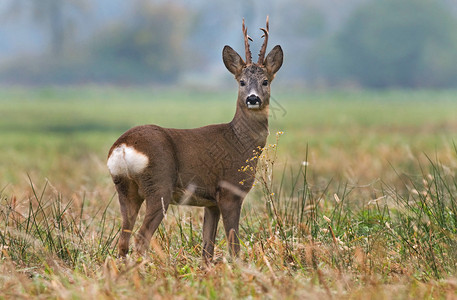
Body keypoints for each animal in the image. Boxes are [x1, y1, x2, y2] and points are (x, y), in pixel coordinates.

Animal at [108, 17, 284, 260]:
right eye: (241, 81)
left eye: (265, 81)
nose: (253, 98)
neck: (240, 141)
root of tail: (123, 146)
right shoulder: (230, 191)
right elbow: (234, 245)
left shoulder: (211, 203)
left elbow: (207, 249)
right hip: (159, 186)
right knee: (141, 238)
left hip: (125, 189)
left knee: (123, 240)